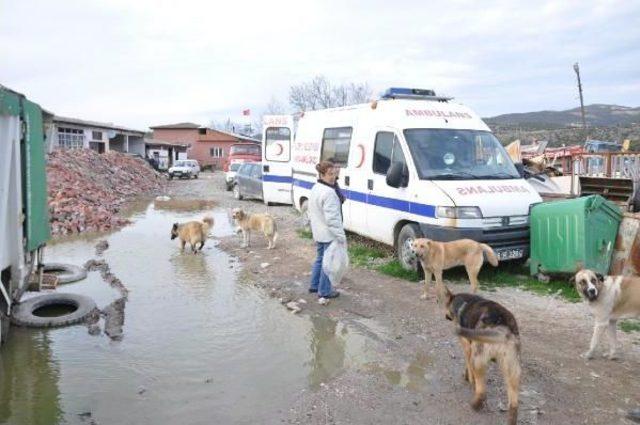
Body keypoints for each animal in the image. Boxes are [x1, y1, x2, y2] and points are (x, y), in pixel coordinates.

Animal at [444, 284, 520, 424]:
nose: (446, 316)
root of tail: (502, 328)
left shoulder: (467, 346)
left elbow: (468, 366)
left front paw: (469, 379)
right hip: (512, 370)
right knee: (514, 404)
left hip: (478, 359)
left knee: (482, 392)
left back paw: (475, 405)